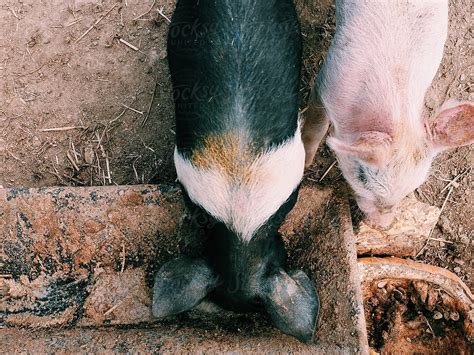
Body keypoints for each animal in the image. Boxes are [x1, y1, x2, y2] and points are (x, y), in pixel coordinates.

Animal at [304, 0, 474, 228]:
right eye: (363, 177)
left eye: (412, 188)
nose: (383, 224)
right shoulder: (326, 81)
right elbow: (316, 124)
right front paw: (305, 164)